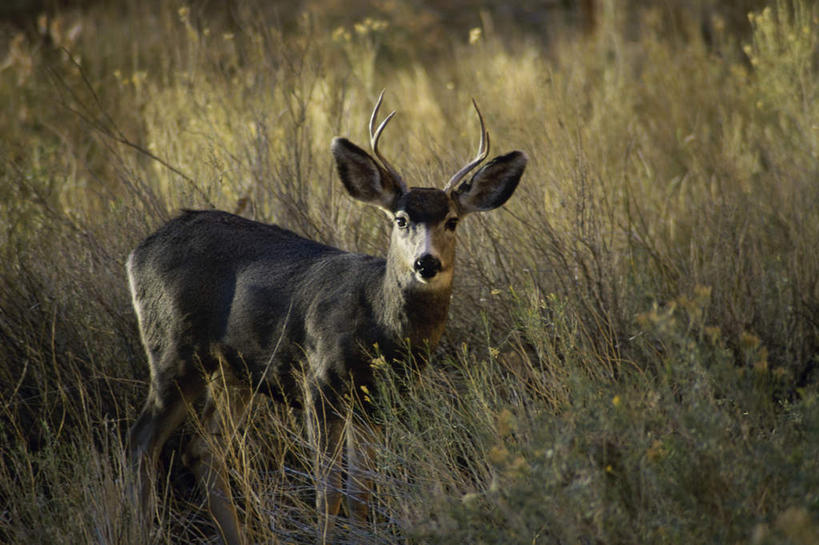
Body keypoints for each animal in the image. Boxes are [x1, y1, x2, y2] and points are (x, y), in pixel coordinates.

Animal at [126, 91, 524, 540]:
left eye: (452, 221)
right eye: (401, 219)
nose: (426, 263)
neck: (377, 321)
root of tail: (137, 252)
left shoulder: (374, 400)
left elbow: (360, 493)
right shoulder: (318, 381)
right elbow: (327, 492)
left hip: (232, 374)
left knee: (202, 450)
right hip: (172, 348)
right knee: (141, 442)